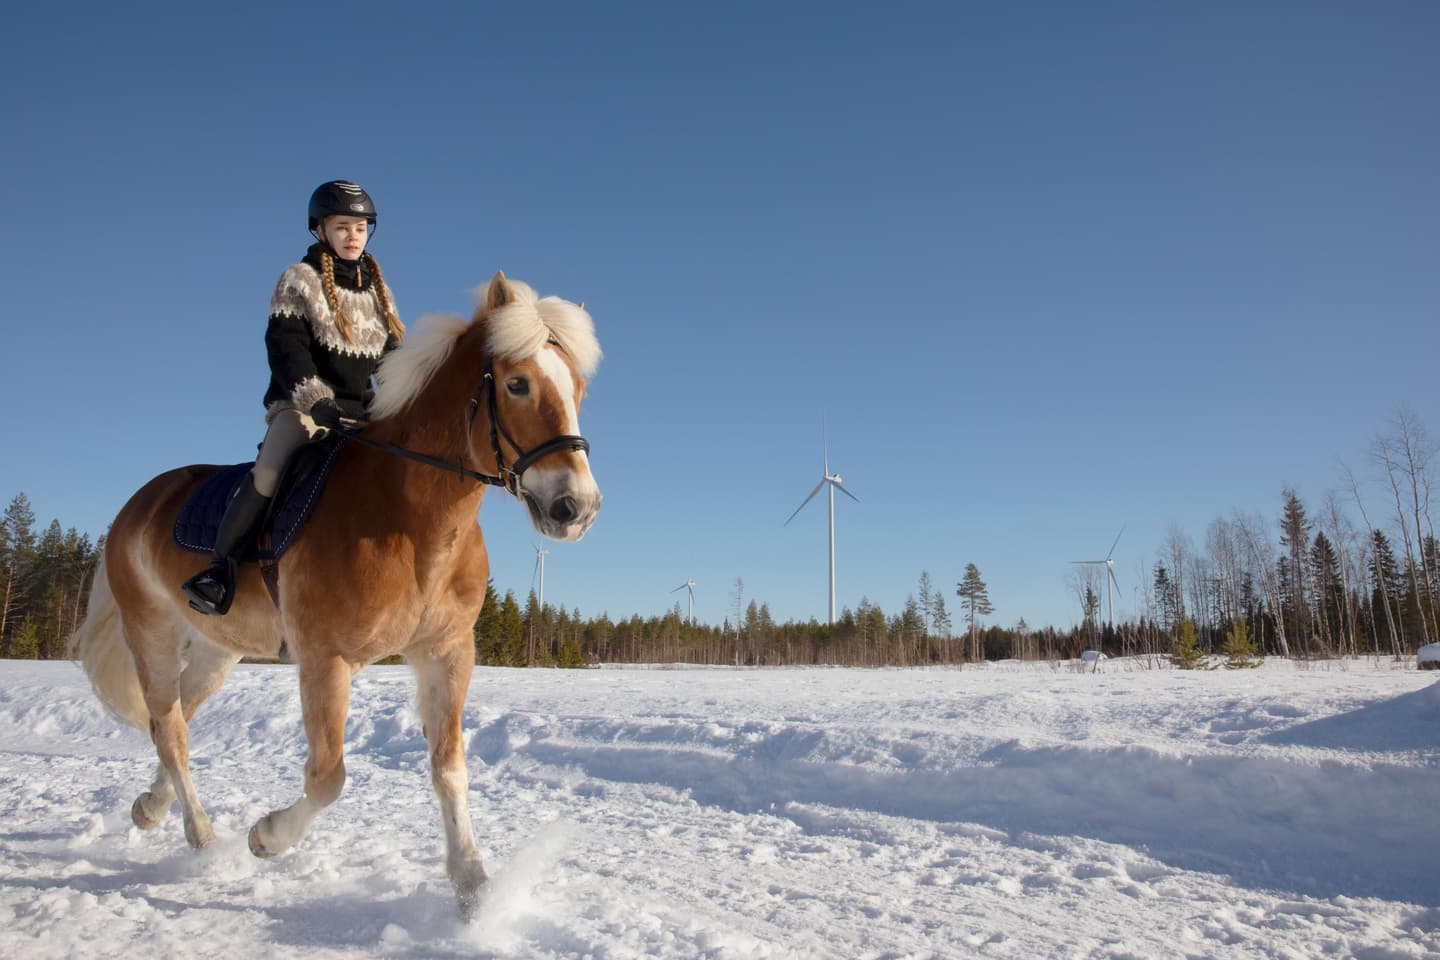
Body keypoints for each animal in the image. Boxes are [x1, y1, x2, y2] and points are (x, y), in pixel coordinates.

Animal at [68, 272, 602, 918]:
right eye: (517, 383)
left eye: (577, 388)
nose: (576, 508)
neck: (410, 519)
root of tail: (138, 503)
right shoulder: (326, 660)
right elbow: (328, 777)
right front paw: (266, 836)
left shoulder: (446, 653)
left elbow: (449, 767)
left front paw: (473, 887)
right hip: (152, 631)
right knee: (171, 732)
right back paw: (202, 836)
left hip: (218, 651)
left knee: (170, 721)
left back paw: (150, 809)